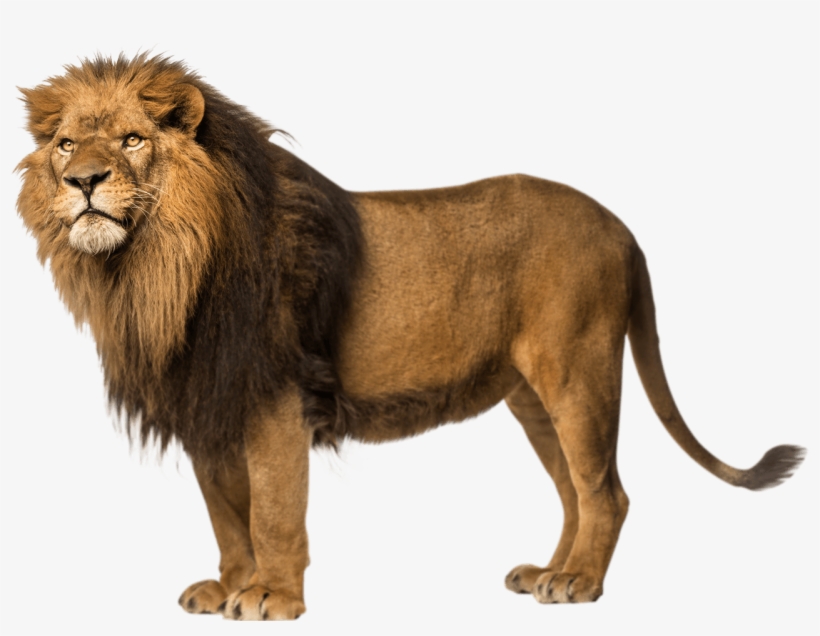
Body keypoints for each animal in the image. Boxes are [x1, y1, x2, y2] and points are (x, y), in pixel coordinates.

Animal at [16, 54, 805, 620]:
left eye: (132, 139)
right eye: (64, 145)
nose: (84, 180)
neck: (152, 271)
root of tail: (622, 227)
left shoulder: (275, 399)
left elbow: (272, 510)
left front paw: (271, 597)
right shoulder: (208, 403)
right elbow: (226, 514)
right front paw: (228, 586)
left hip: (578, 371)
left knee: (606, 490)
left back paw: (579, 582)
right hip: (532, 397)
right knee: (574, 492)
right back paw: (550, 572)